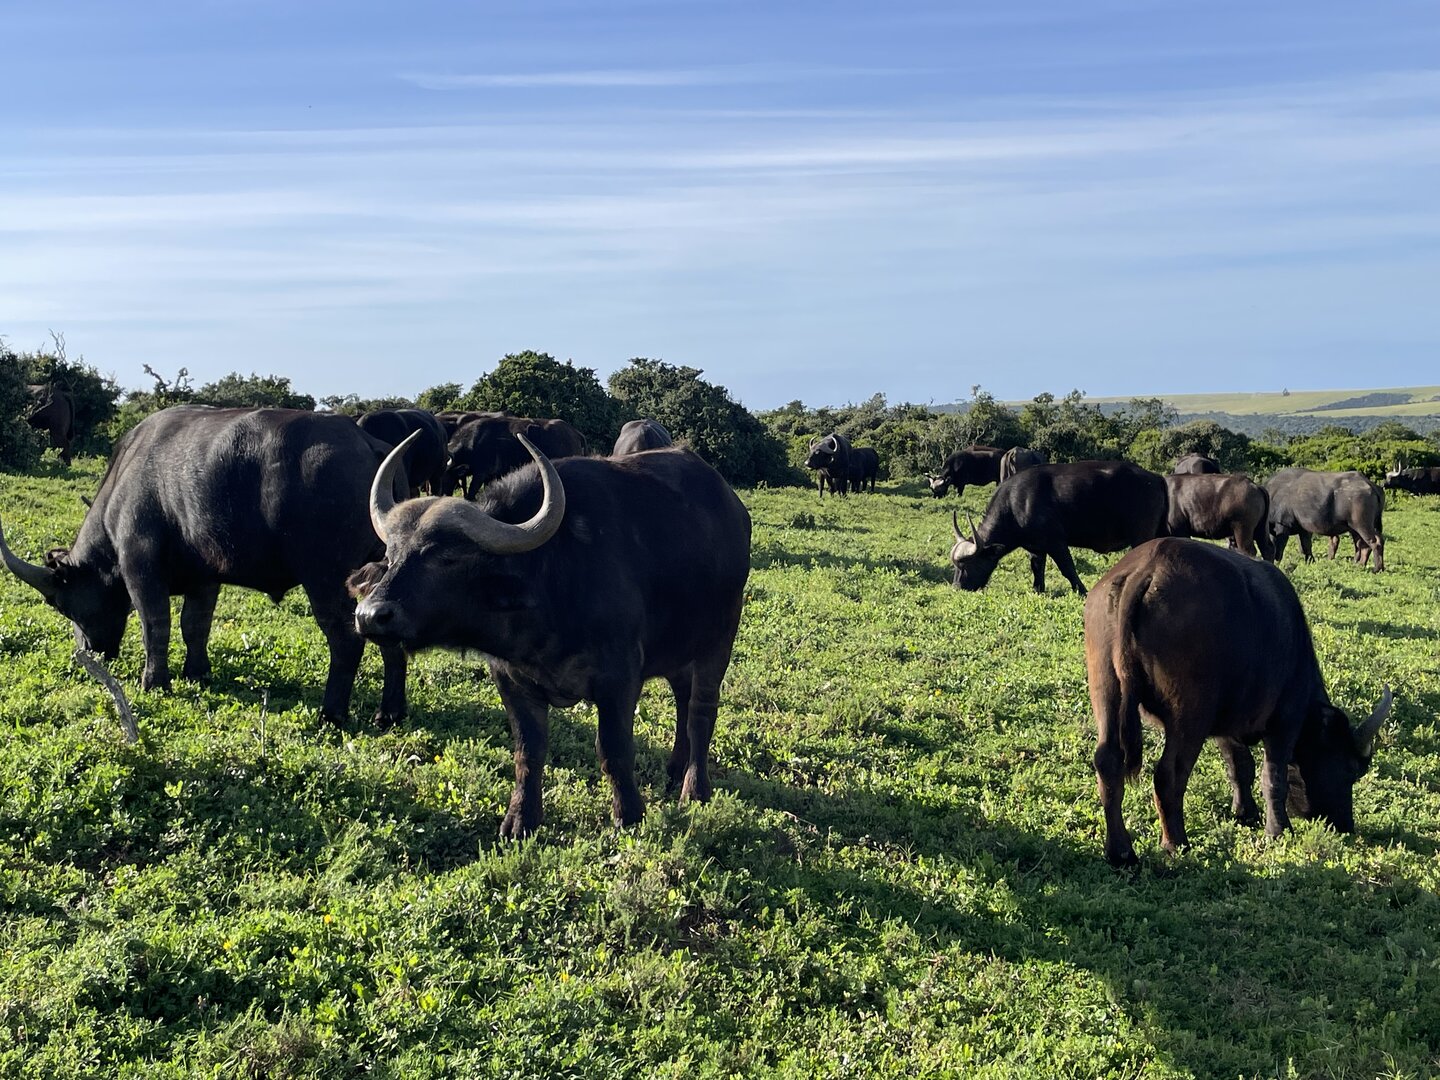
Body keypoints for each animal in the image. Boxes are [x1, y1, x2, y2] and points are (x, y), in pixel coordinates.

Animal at [0, 407, 409, 724]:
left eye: (60, 603)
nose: (89, 652)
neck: (124, 479)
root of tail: (368, 443)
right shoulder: (205, 577)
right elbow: (195, 625)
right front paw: (197, 673)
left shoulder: (139, 566)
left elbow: (155, 625)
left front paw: (155, 681)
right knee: (387, 632)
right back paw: (389, 713)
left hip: (324, 578)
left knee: (345, 638)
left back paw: (332, 713)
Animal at [351, 434, 751, 837]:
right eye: (391, 555)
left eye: (446, 557)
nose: (371, 615)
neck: (551, 579)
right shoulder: (511, 679)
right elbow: (528, 750)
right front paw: (520, 819)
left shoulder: (619, 678)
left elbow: (614, 749)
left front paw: (629, 814)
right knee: (683, 698)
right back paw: (674, 770)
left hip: (719, 639)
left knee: (701, 711)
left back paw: (695, 788)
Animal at [443, 415, 587, 499]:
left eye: (444, 476)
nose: (442, 493)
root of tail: (575, 433)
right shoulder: (492, 476)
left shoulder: (480, 474)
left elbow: (470, 494)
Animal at [950, 461, 1168, 595]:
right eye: (955, 566)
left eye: (966, 564)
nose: (957, 587)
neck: (1015, 503)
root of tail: (1156, 479)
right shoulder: (1036, 548)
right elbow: (1037, 568)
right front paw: (1037, 589)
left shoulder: (1056, 543)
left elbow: (1067, 568)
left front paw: (1082, 590)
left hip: (1141, 535)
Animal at [1086, 537, 1390, 866]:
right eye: (1351, 770)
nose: (1345, 824)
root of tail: (1147, 569)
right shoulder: (1286, 720)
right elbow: (1273, 777)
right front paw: (1278, 830)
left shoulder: (1226, 724)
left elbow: (1239, 766)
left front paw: (1245, 813)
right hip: (1190, 715)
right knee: (1169, 773)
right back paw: (1176, 843)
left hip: (1106, 688)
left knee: (1108, 761)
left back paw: (1121, 852)